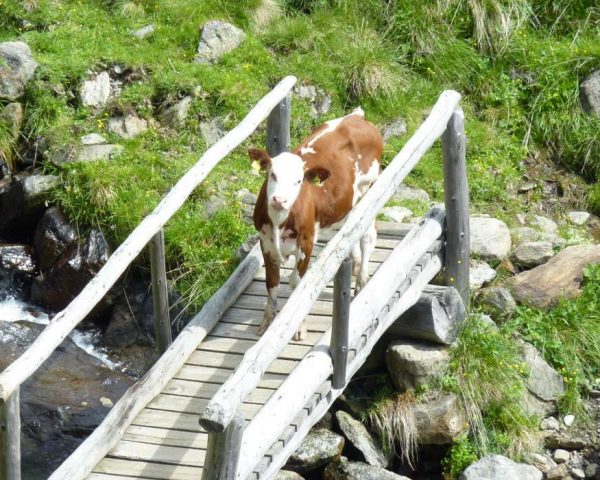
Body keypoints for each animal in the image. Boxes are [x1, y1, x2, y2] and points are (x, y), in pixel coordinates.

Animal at [250, 108, 382, 342]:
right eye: (272, 174)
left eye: (298, 181)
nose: (279, 199)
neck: (279, 222)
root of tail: (356, 117)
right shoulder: (265, 242)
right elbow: (271, 283)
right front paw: (266, 321)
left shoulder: (306, 242)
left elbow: (297, 284)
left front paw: (299, 327)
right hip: (348, 203)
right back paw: (355, 265)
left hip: (369, 188)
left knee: (368, 236)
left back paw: (361, 282)